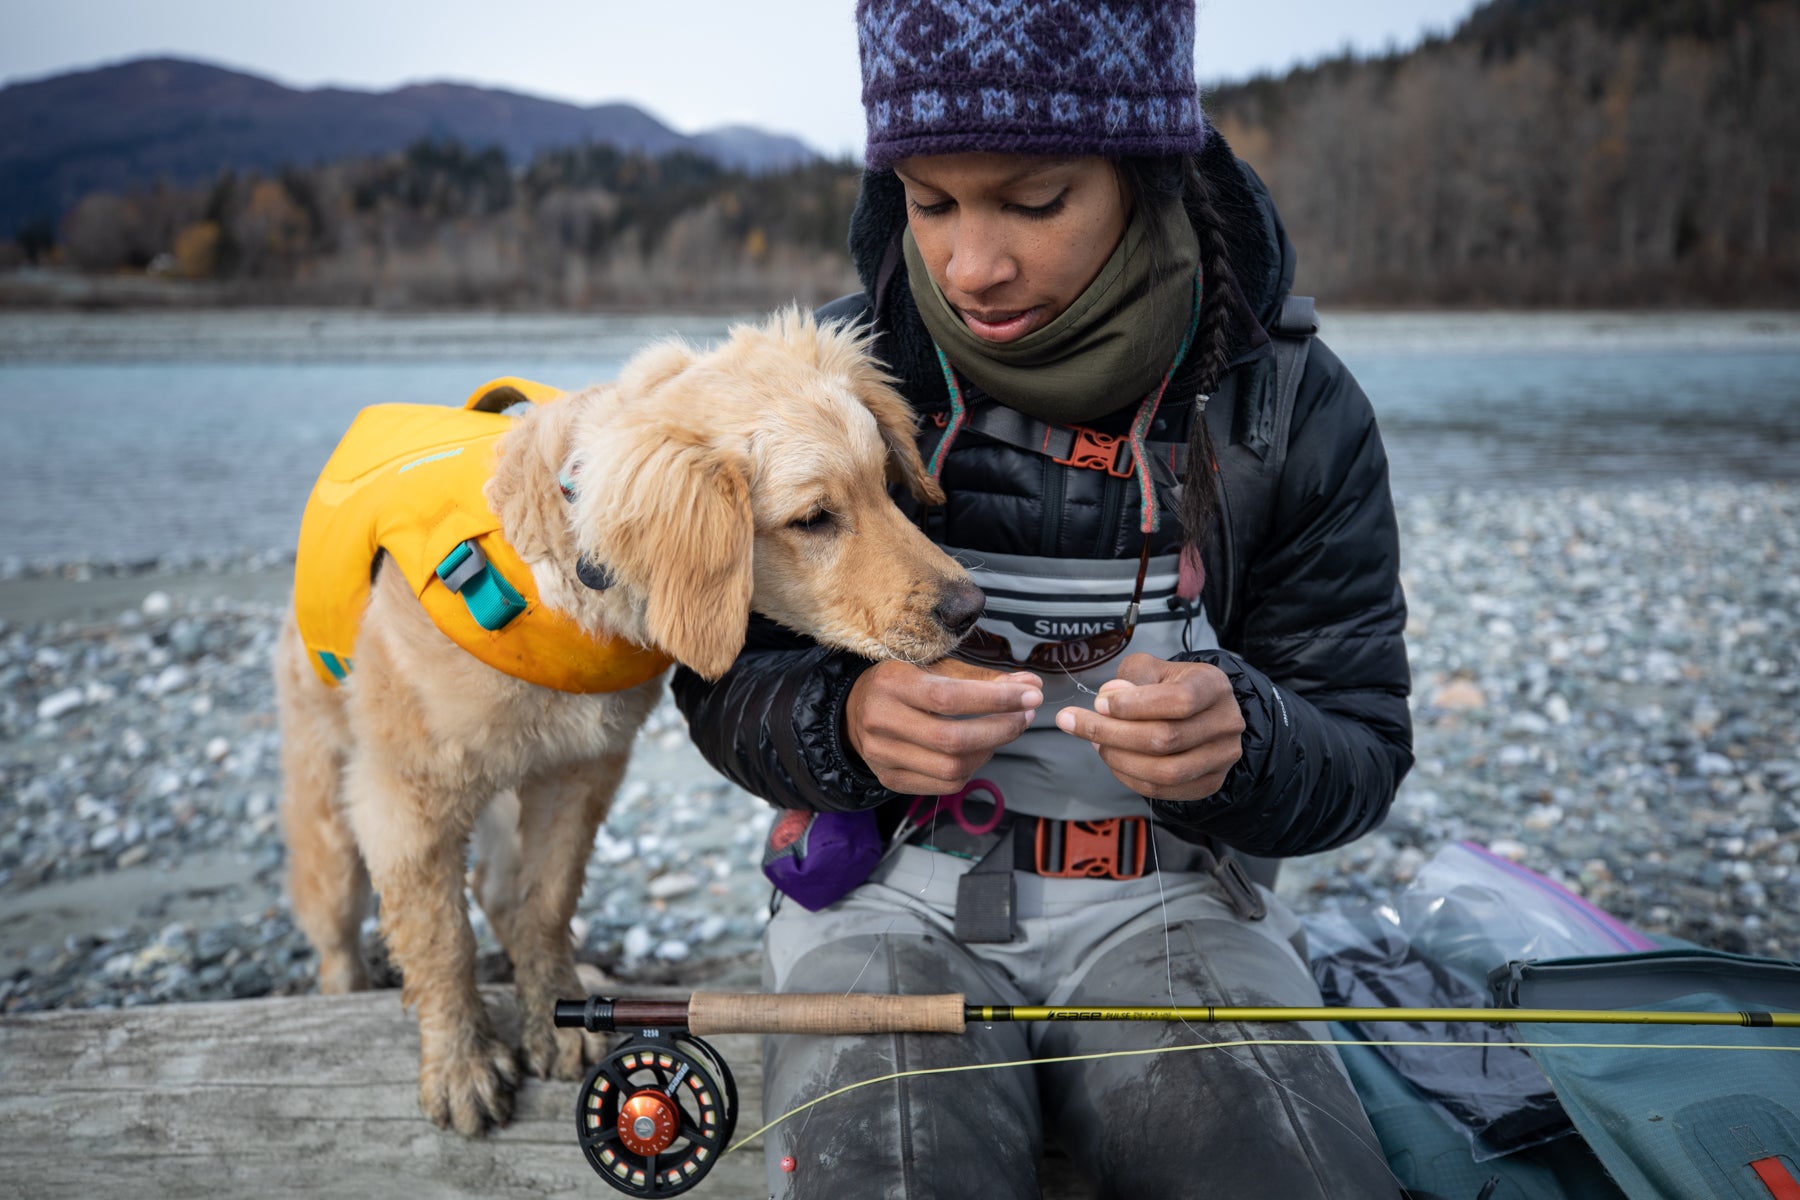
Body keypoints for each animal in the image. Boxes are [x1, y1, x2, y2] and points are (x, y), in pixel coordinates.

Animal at [273, 309, 986, 1137]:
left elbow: (545, 902)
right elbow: (441, 936)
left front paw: (553, 1021)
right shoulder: (407, 792)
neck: (560, 583)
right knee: (335, 919)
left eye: (884, 486)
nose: (970, 609)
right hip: (329, 798)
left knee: (497, 890)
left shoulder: (580, 772)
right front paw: (460, 1066)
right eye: (814, 519)